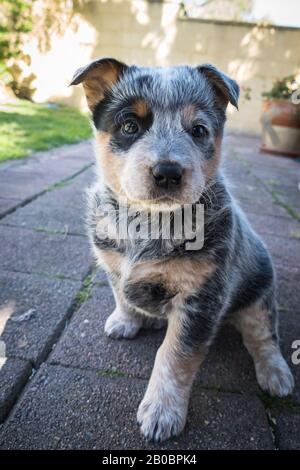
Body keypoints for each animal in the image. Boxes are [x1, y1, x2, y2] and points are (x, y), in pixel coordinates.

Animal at [70, 57, 292, 440]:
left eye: (199, 130)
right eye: (130, 125)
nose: (167, 172)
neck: (147, 224)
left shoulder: (200, 299)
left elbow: (175, 355)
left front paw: (162, 411)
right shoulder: (112, 263)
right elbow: (120, 293)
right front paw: (126, 320)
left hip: (260, 296)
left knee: (264, 337)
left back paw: (276, 374)